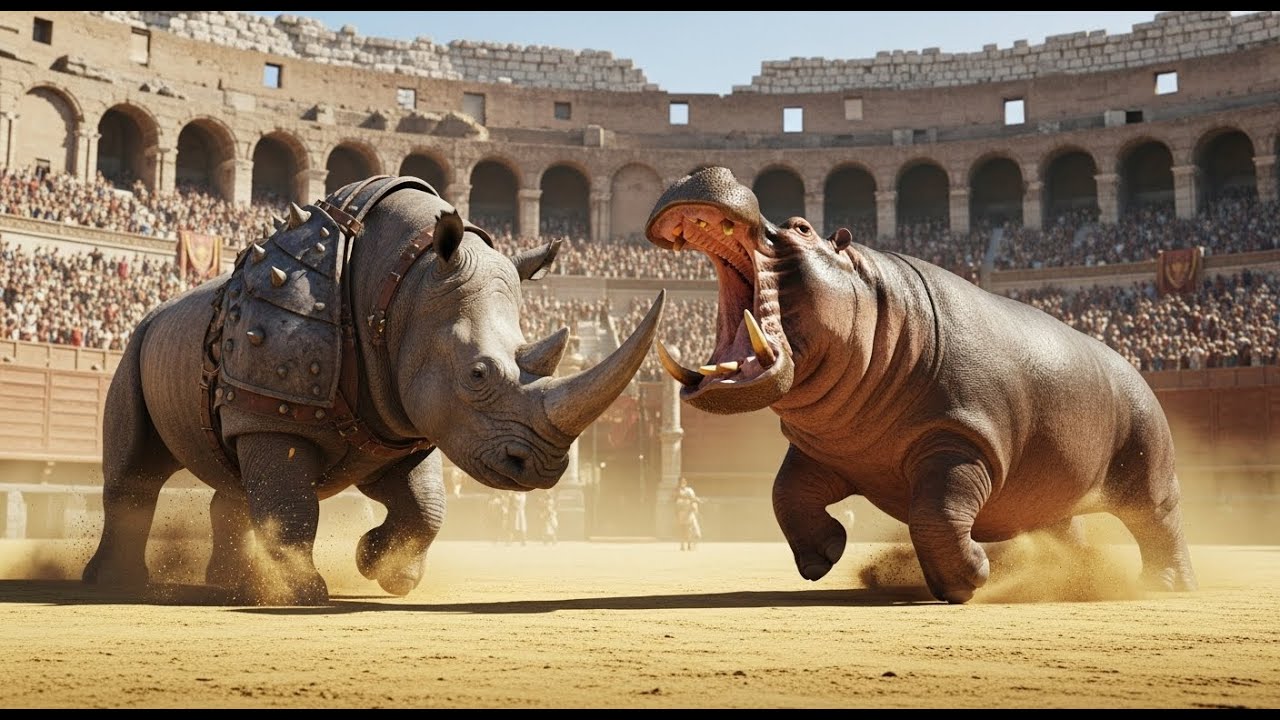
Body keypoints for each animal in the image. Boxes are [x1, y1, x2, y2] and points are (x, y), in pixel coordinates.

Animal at [83, 175, 665, 605]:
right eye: (478, 375)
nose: (544, 468)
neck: (400, 286)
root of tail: (158, 309)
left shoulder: (401, 424)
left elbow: (426, 506)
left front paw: (385, 571)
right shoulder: (280, 411)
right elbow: (293, 506)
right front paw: (302, 595)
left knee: (234, 478)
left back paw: (227, 583)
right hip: (138, 344)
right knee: (137, 469)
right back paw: (117, 584)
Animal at [643, 166, 1197, 604]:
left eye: (802, 226)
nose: (706, 170)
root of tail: (1132, 367)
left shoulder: (961, 442)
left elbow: (935, 514)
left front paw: (970, 577)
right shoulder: (826, 450)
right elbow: (785, 495)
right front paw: (825, 554)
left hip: (1147, 467)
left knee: (1162, 523)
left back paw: (1166, 586)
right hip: (1054, 488)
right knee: (1068, 529)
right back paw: (1077, 576)